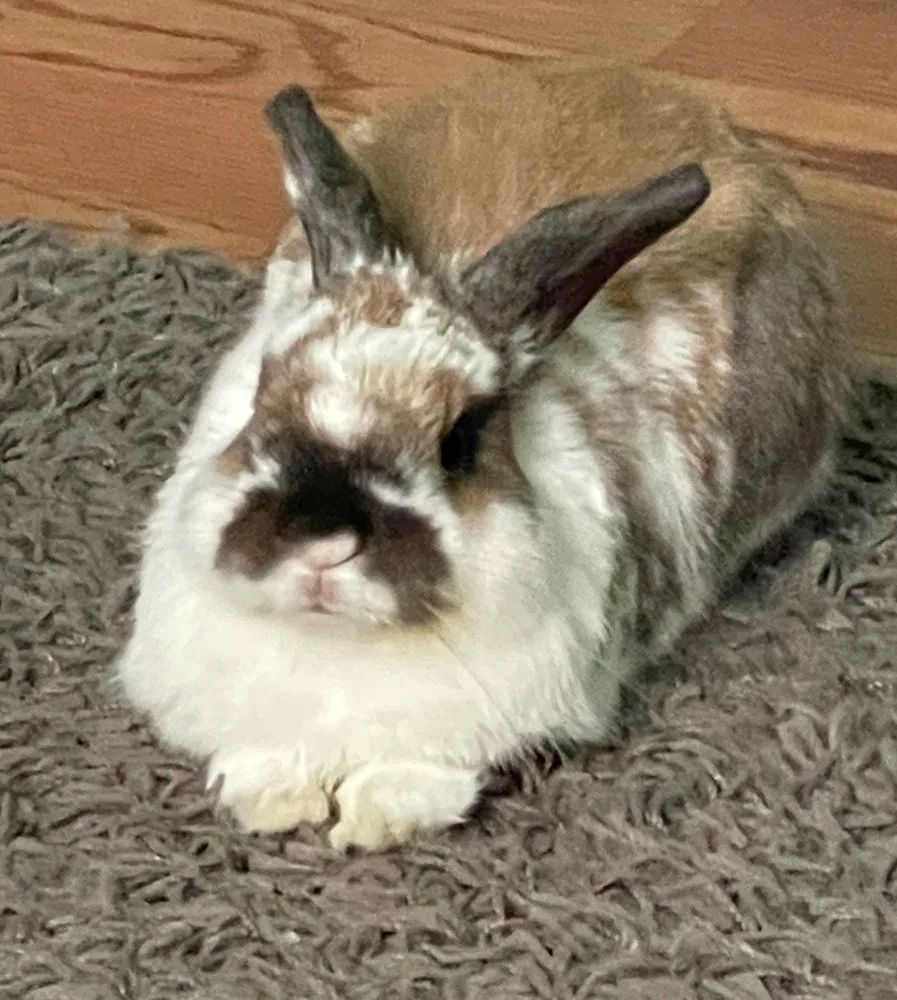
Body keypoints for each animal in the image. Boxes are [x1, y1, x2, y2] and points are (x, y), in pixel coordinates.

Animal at [117, 61, 849, 851]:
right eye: (261, 392)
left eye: (461, 440)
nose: (322, 539)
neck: (339, 645)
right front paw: (273, 801)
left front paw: (375, 818)